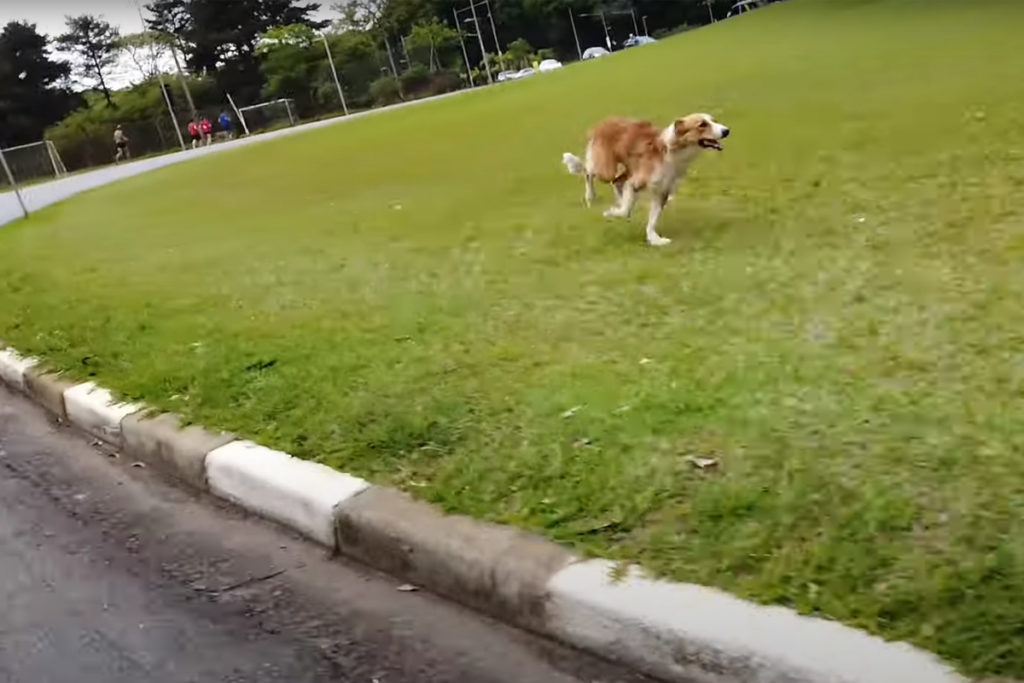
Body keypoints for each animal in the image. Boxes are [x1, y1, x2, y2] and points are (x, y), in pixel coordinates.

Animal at [561, 113, 729, 246]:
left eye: (713, 120)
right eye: (702, 124)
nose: (727, 131)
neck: (671, 151)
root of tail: (603, 122)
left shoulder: (662, 191)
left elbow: (652, 220)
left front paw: (654, 239)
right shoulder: (636, 182)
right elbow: (624, 211)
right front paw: (612, 213)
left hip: (628, 169)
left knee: (616, 181)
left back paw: (620, 199)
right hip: (606, 169)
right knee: (589, 172)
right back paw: (589, 193)